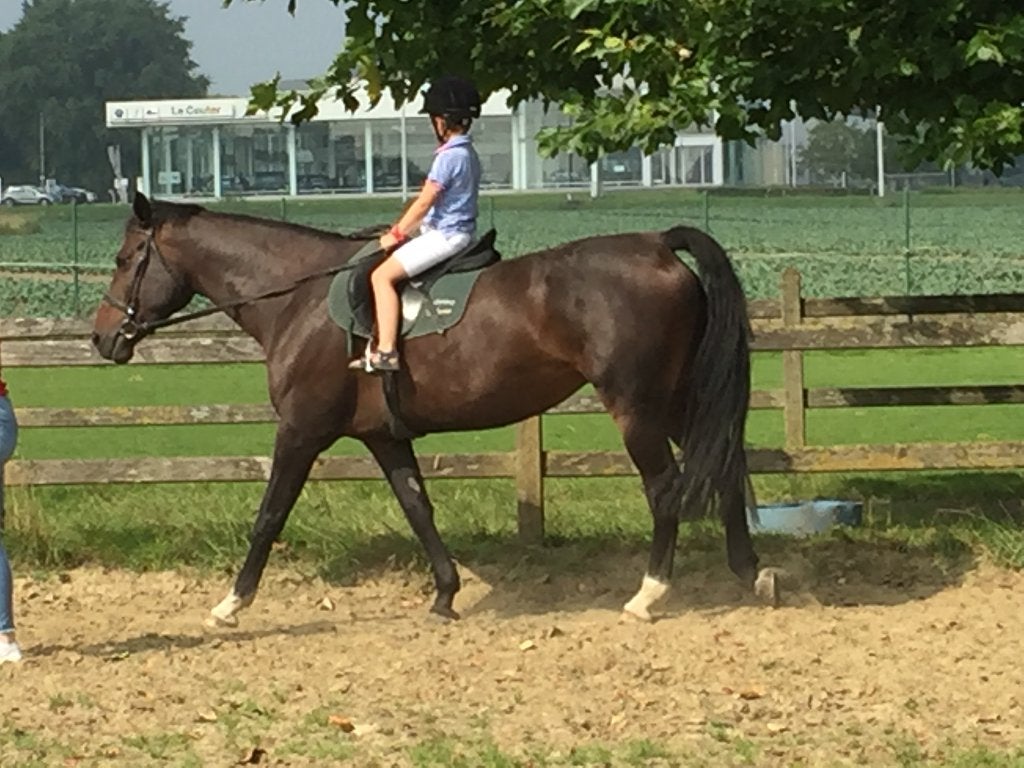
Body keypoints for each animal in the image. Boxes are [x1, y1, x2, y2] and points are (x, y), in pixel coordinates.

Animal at [91, 191, 777, 628]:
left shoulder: (301, 431)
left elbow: (269, 516)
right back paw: (752, 573)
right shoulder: (383, 437)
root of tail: (657, 244)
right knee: (725, 464)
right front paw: (446, 595)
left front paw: (231, 605)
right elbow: (418, 507)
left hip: (637, 406)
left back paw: (649, 595)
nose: (101, 339)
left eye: (125, 261)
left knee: (665, 488)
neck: (299, 299)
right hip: (679, 399)